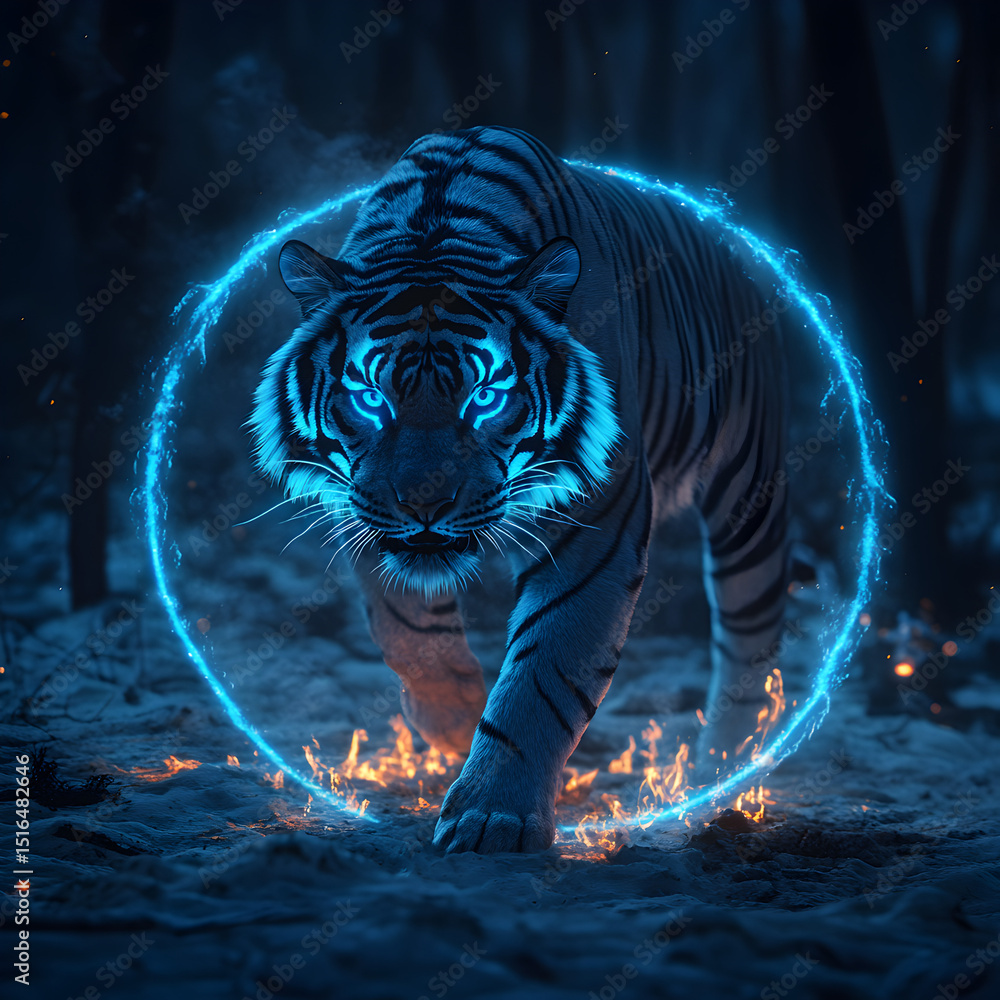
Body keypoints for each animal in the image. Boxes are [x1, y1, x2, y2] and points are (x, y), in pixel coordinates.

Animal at [249, 125, 788, 854]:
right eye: (369, 397)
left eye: (485, 396)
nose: (425, 503)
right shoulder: (363, 509)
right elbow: (407, 628)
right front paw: (453, 722)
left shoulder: (596, 528)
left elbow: (545, 671)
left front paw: (491, 816)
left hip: (749, 491)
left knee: (748, 642)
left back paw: (718, 781)